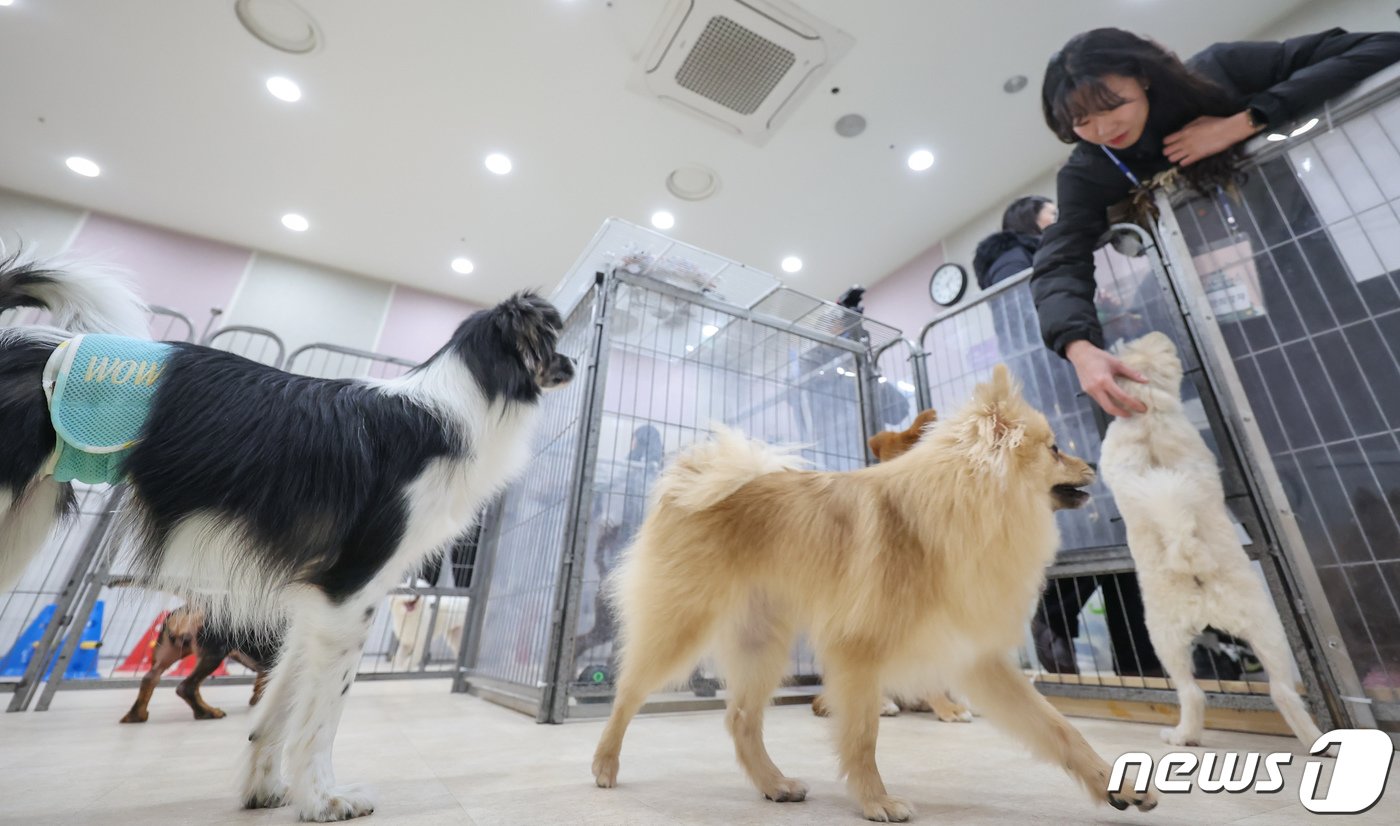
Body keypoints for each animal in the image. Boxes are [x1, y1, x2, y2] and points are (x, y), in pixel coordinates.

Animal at [122, 604, 281, 728]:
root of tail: (187, 611)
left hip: (169, 652)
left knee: (150, 678)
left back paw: (136, 715)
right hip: (214, 653)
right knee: (187, 687)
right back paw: (208, 712)